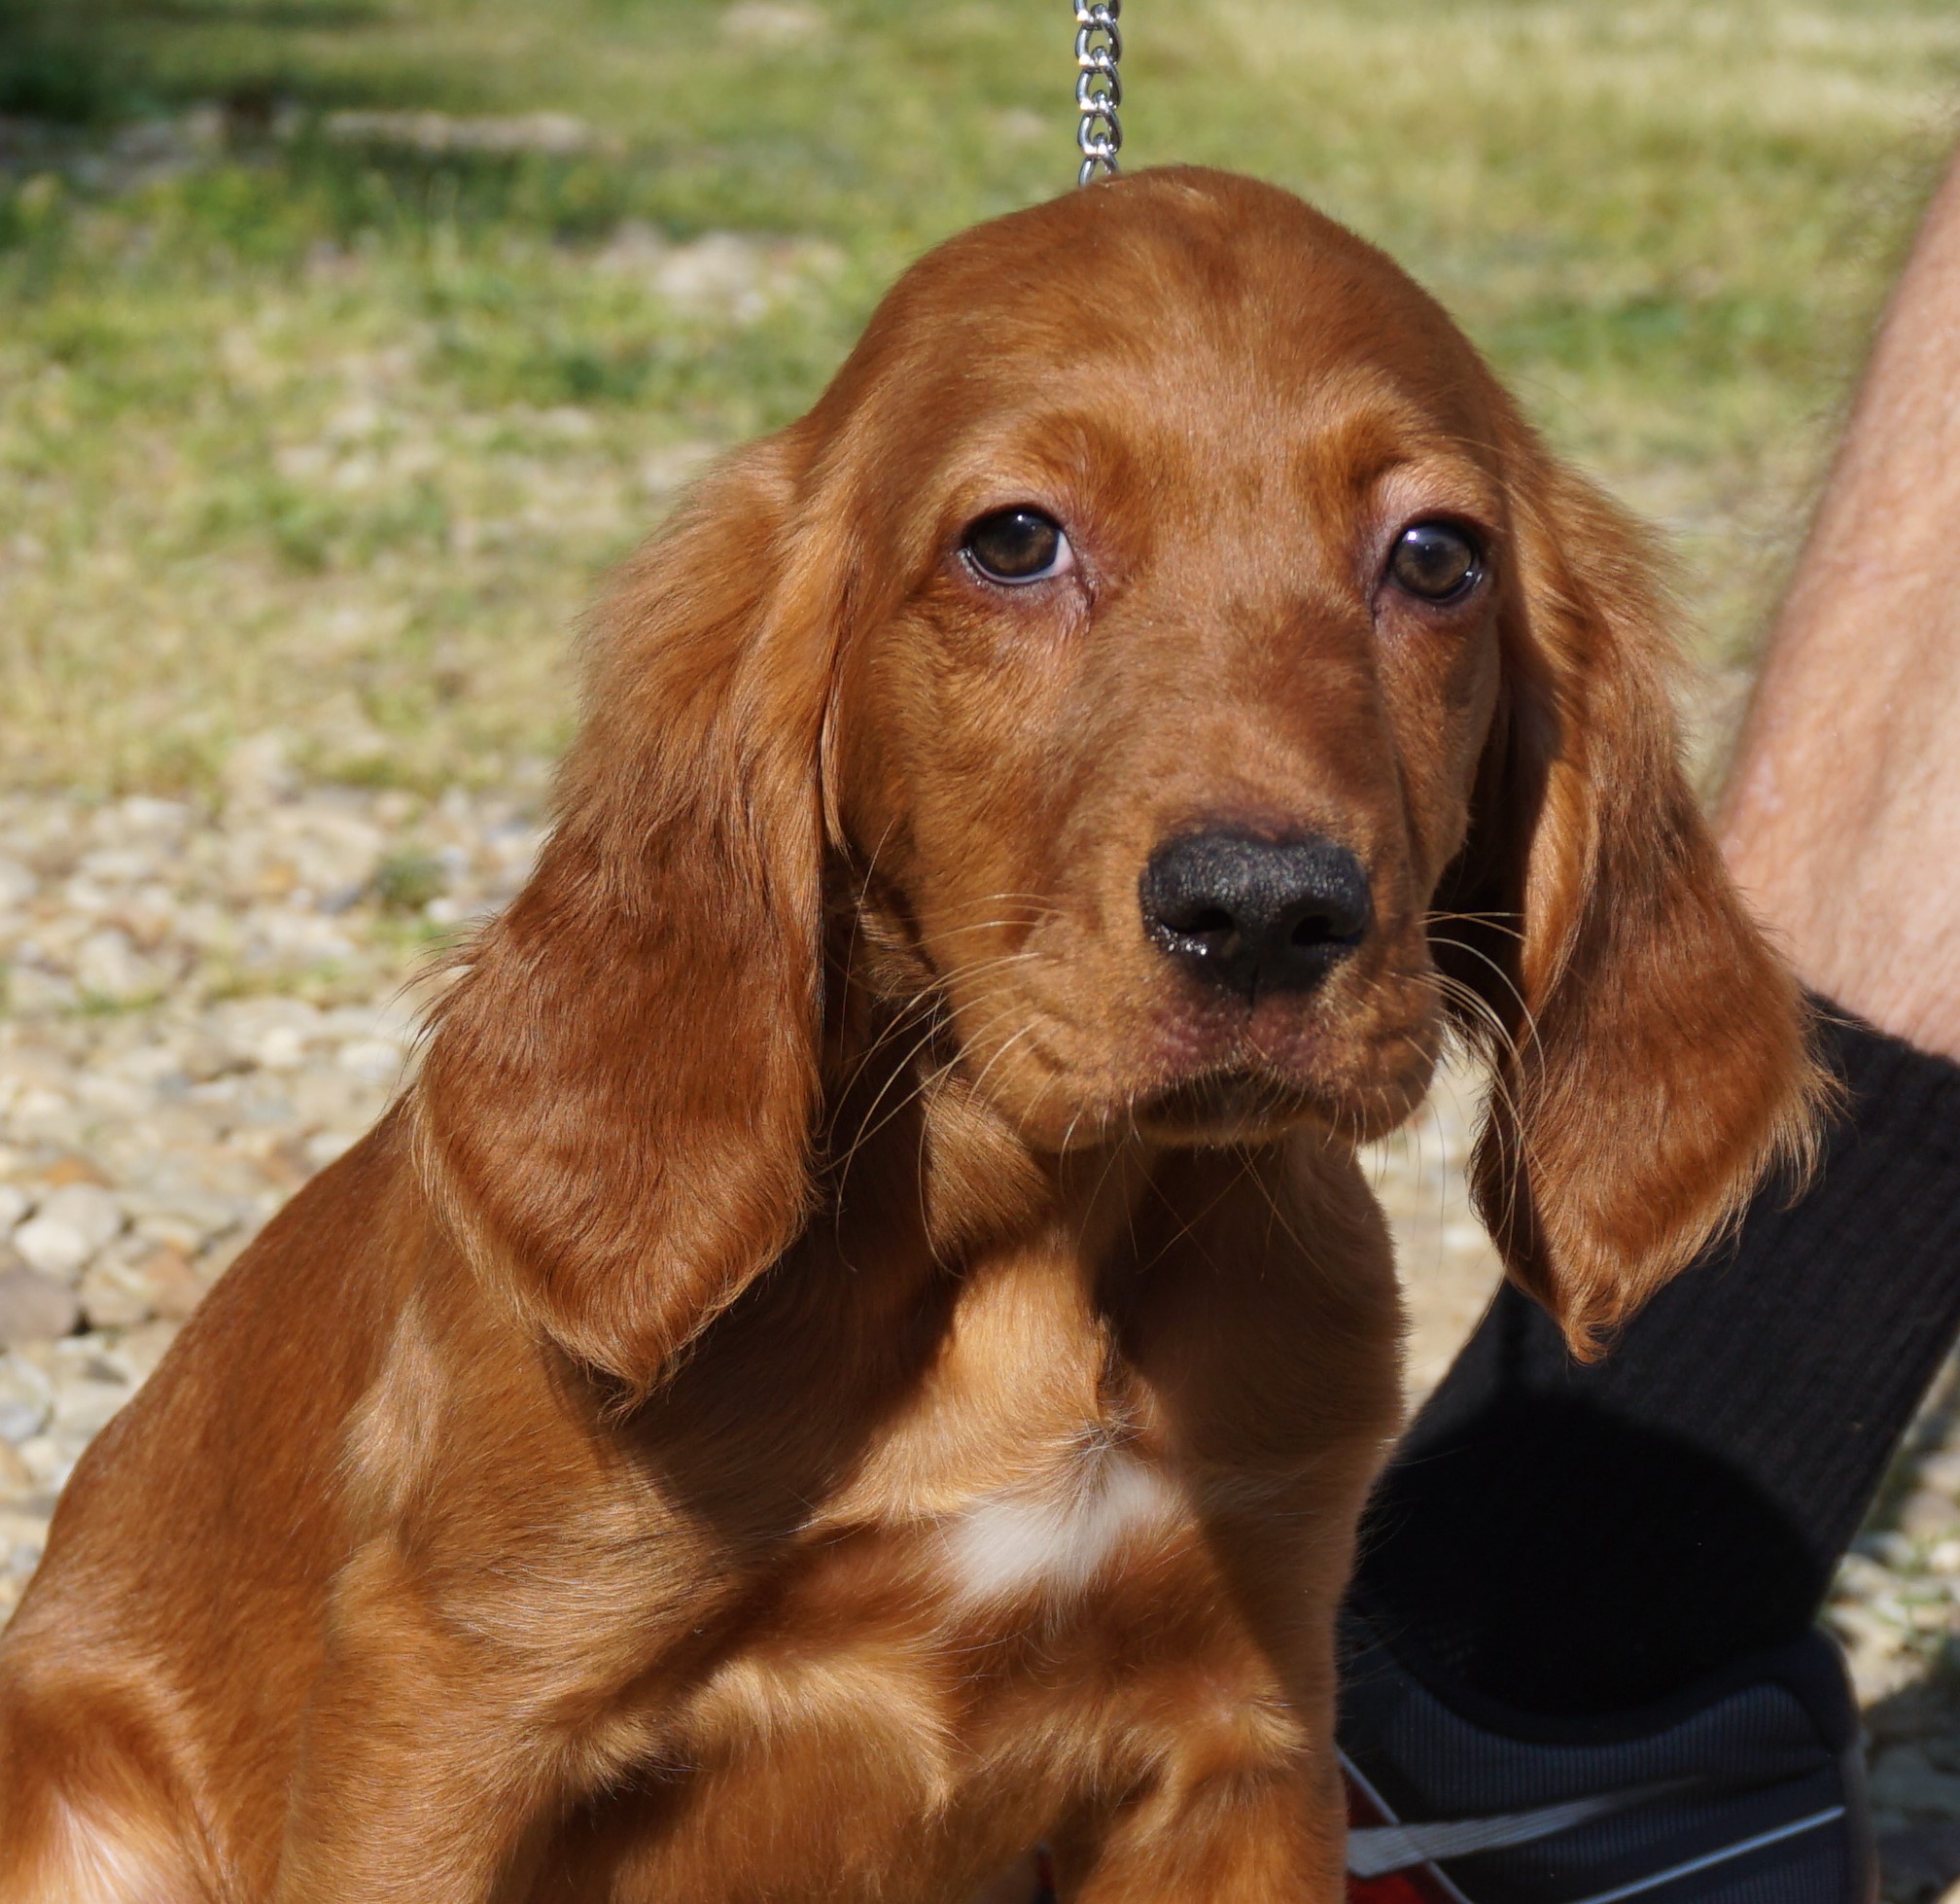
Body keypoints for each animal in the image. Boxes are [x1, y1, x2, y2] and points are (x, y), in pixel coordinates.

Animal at [0, 171, 1818, 1897]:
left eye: (1438, 558)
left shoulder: (1241, 1740)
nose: (1263, 912)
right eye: (1014, 541)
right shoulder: (448, 1702)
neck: (1042, 1238)